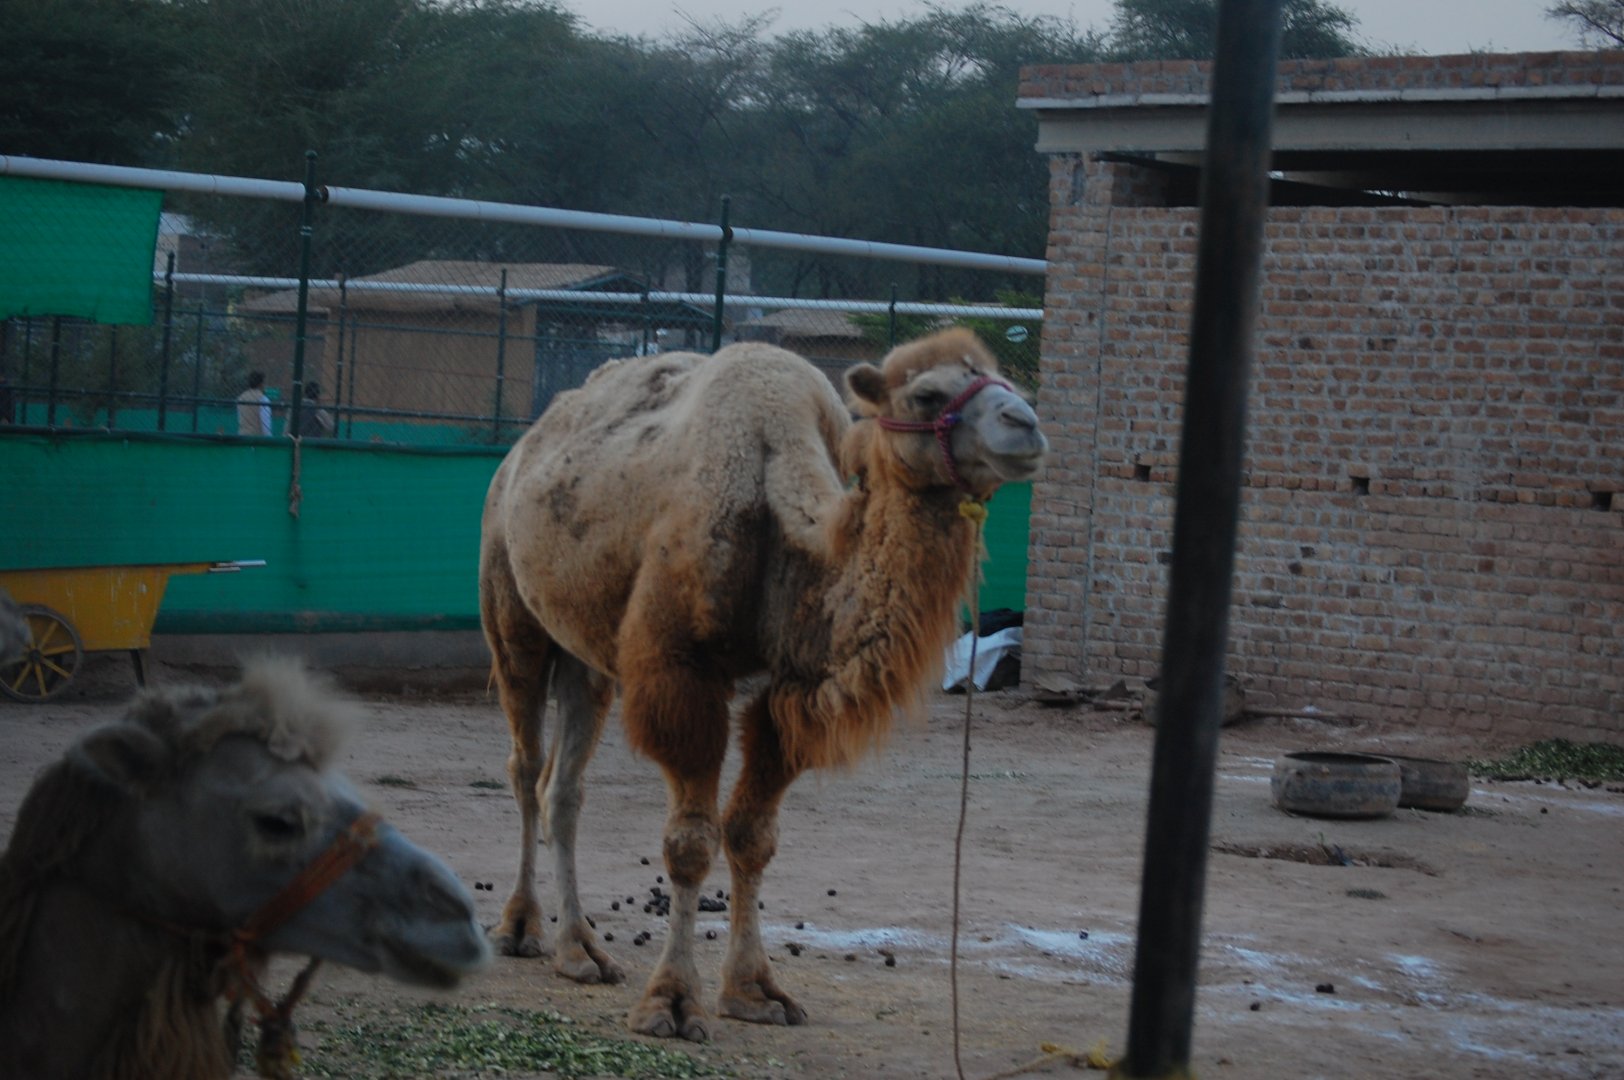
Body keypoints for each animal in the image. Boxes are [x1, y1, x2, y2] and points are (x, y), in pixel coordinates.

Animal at [481, 326, 1047, 1041]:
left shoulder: (790, 687)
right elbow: (690, 842)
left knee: (565, 786)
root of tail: (523, 448)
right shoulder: (680, 670)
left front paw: (755, 992)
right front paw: (672, 1002)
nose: (1025, 425)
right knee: (525, 763)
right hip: (510, 609)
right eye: (927, 394)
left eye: (1011, 385)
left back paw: (580, 951)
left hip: (589, 654)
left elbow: (752, 835)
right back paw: (520, 928)